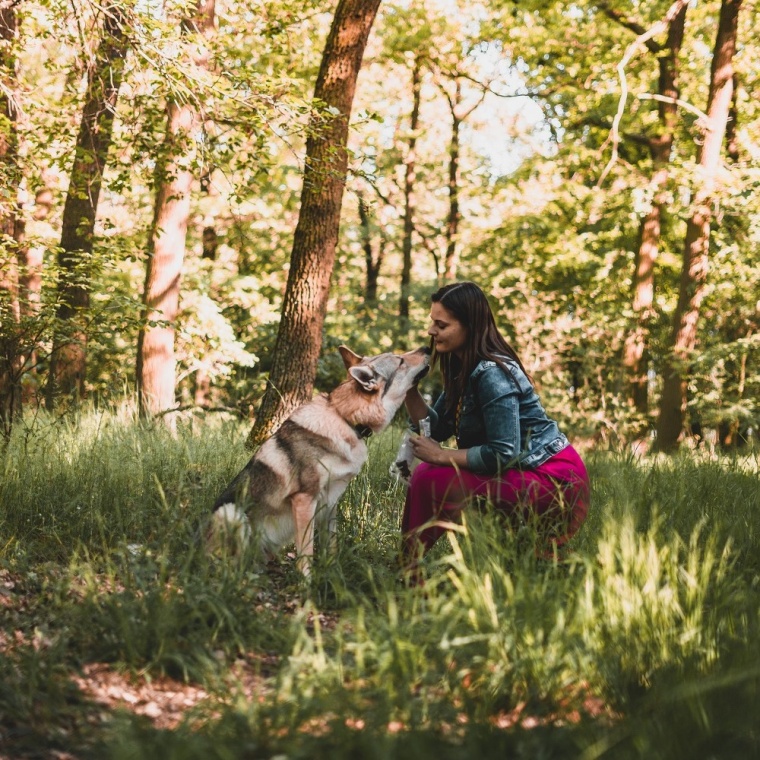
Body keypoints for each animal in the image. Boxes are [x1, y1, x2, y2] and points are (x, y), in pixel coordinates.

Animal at [206, 344, 428, 576]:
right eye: (400, 361)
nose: (426, 347)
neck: (344, 419)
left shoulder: (331, 501)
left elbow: (332, 545)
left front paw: (334, 573)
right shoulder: (305, 499)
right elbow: (307, 552)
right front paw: (305, 582)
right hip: (230, 512)